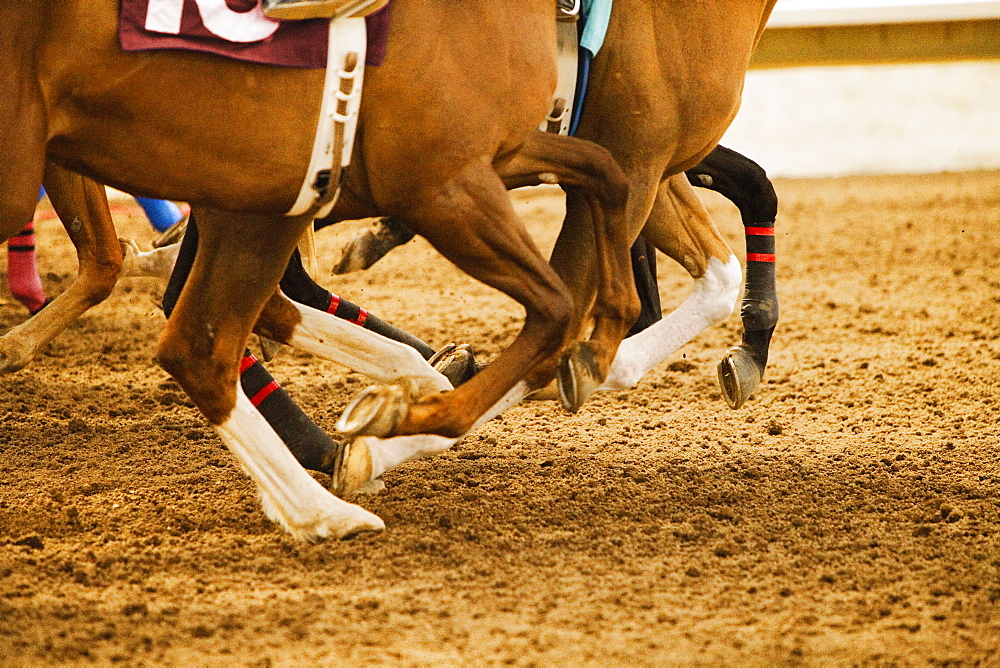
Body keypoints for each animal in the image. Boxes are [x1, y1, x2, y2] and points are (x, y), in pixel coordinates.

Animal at [1, 0, 640, 540]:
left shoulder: (485, 154)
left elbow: (606, 170)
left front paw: (604, 335)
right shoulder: (444, 182)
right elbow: (556, 307)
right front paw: (410, 417)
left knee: (202, 336)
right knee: (195, 332)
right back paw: (325, 504)